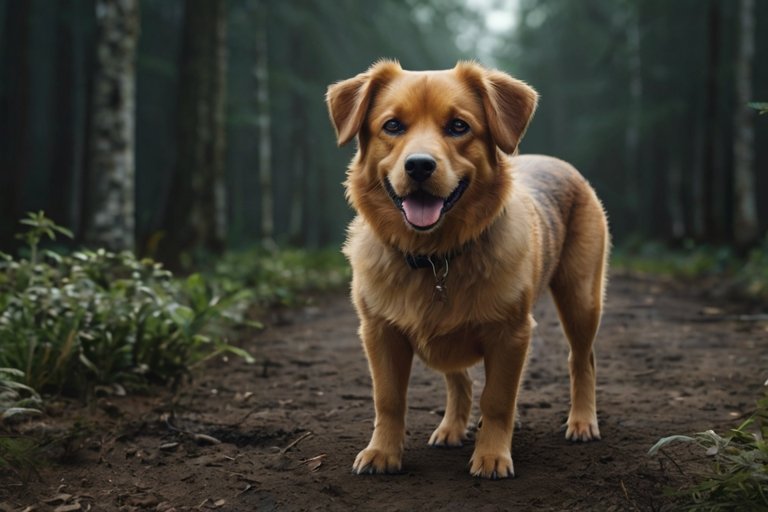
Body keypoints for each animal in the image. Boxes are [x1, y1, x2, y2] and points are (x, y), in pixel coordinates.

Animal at [326, 61, 612, 480]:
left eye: (459, 126)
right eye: (392, 126)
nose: (419, 165)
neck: (435, 256)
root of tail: (557, 162)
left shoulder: (512, 334)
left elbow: (497, 400)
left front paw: (492, 454)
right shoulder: (379, 332)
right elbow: (388, 399)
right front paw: (383, 452)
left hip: (581, 298)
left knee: (582, 360)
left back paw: (582, 421)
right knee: (459, 379)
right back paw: (452, 428)